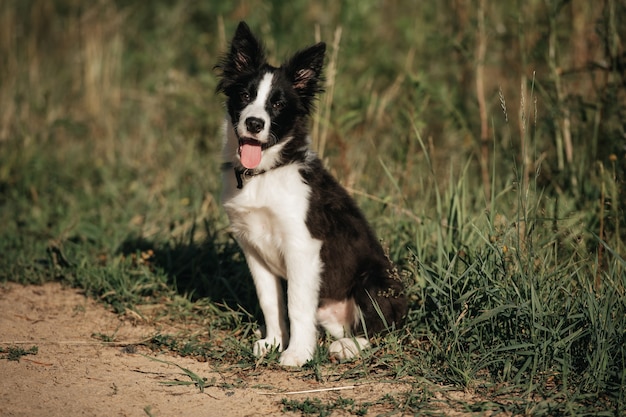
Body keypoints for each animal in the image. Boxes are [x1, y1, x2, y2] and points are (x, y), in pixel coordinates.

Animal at [217, 22, 408, 364]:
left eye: (278, 104)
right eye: (245, 95)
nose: (254, 123)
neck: (266, 173)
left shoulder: (302, 247)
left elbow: (295, 305)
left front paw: (298, 355)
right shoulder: (253, 248)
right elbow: (271, 303)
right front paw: (273, 343)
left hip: (373, 281)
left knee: (380, 327)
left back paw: (347, 347)